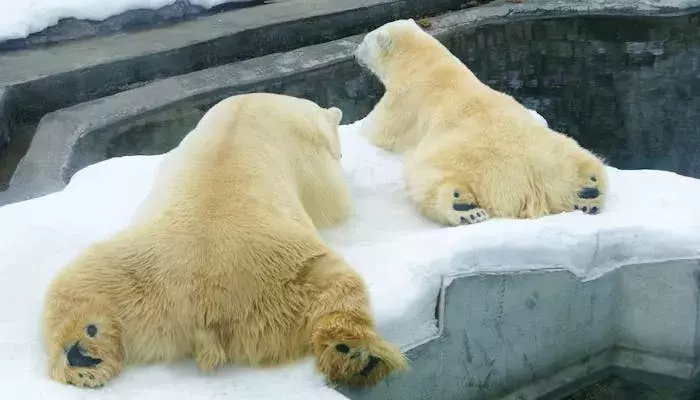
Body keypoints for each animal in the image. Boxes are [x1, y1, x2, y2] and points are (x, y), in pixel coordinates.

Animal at [41, 93, 408, 388]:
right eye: (339, 151)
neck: (252, 102)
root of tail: (202, 302)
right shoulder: (313, 166)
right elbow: (333, 204)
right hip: (289, 272)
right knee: (337, 285)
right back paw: (355, 354)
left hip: (130, 270)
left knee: (75, 286)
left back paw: (84, 353)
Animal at [356, 18, 608, 227]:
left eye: (365, 41)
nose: (356, 53)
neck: (426, 62)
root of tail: (526, 183)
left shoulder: (404, 101)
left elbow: (379, 132)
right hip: (555, 153)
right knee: (583, 159)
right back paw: (589, 192)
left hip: (452, 160)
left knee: (428, 182)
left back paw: (463, 207)